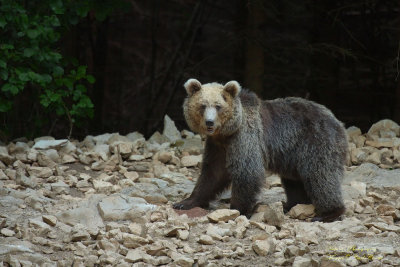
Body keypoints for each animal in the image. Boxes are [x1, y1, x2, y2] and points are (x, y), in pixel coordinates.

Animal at [173, 78, 348, 223]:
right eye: (202, 105)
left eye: (218, 106)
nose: (209, 122)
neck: (226, 133)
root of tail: (337, 121)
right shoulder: (217, 146)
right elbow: (212, 173)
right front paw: (184, 202)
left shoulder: (245, 138)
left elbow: (246, 172)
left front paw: (237, 209)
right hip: (293, 154)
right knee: (294, 181)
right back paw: (291, 204)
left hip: (316, 141)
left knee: (321, 175)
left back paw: (327, 213)